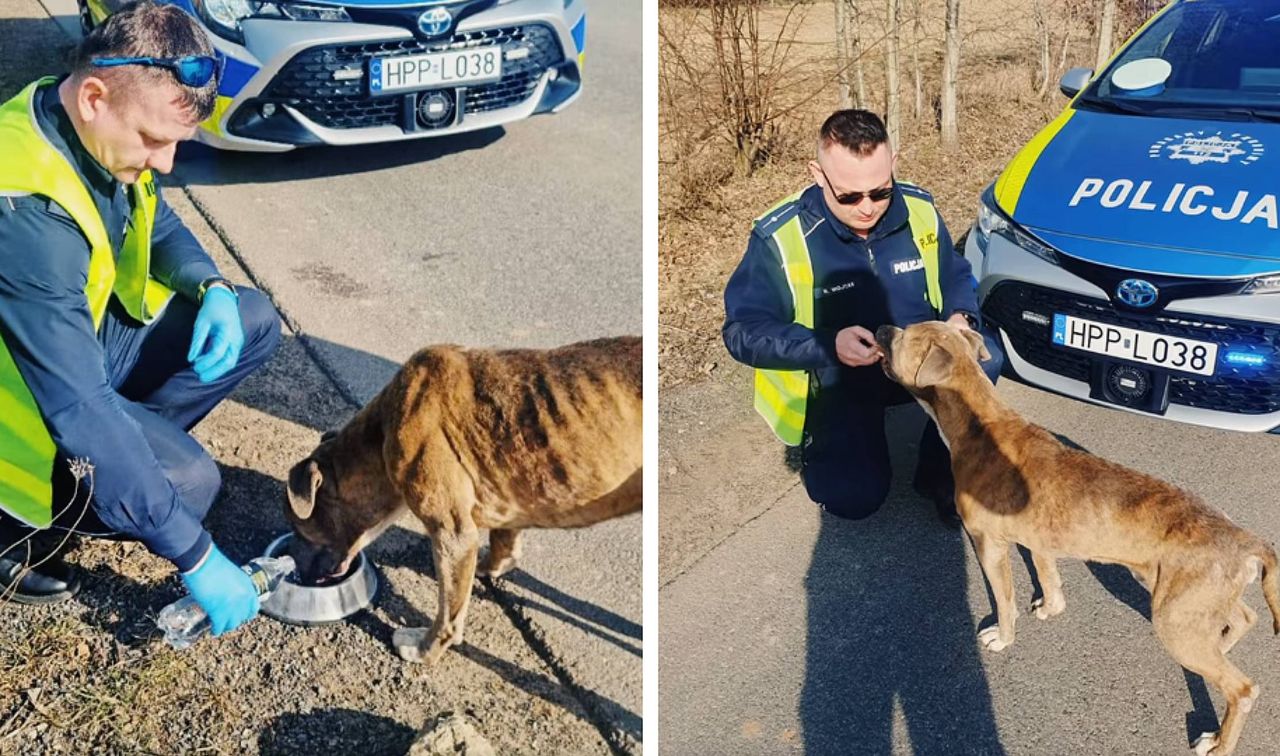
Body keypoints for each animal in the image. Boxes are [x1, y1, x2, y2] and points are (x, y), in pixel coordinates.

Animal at [281, 335, 640, 665]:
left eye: (301, 531)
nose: (300, 573)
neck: (379, 434)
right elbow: (504, 542)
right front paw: (492, 566)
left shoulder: (452, 535)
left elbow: (448, 615)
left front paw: (425, 650)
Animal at [880, 321, 1280, 756]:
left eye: (903, 336)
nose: (881, 328)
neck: (977, 422)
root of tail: (1245, 538)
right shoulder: (1038, 539)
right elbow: (1048, 576)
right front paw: (1049, 607)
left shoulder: (989, 545)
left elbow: (1004, 601)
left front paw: (1003, 637)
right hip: (1193, 599)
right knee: (1244, 616)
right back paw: (1224, 645)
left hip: (1175, 619)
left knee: (1242, 689)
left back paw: (1219, 742)